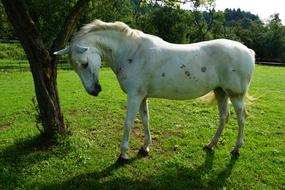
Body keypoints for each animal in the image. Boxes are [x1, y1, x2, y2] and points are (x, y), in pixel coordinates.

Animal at [54, 19, 254, 163]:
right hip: (221, 92)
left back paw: (236, 149)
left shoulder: (134, 96)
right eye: (76, 67)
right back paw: (211, 145)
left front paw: (123, 154)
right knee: (224, 117)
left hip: (235, 95)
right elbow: (145, 119)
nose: (94, 90)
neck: (131, 51)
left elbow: (128, 123)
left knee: (241, 118)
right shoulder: (142, 96)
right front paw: (145, 147)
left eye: (84, 64)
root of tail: (249, 51)